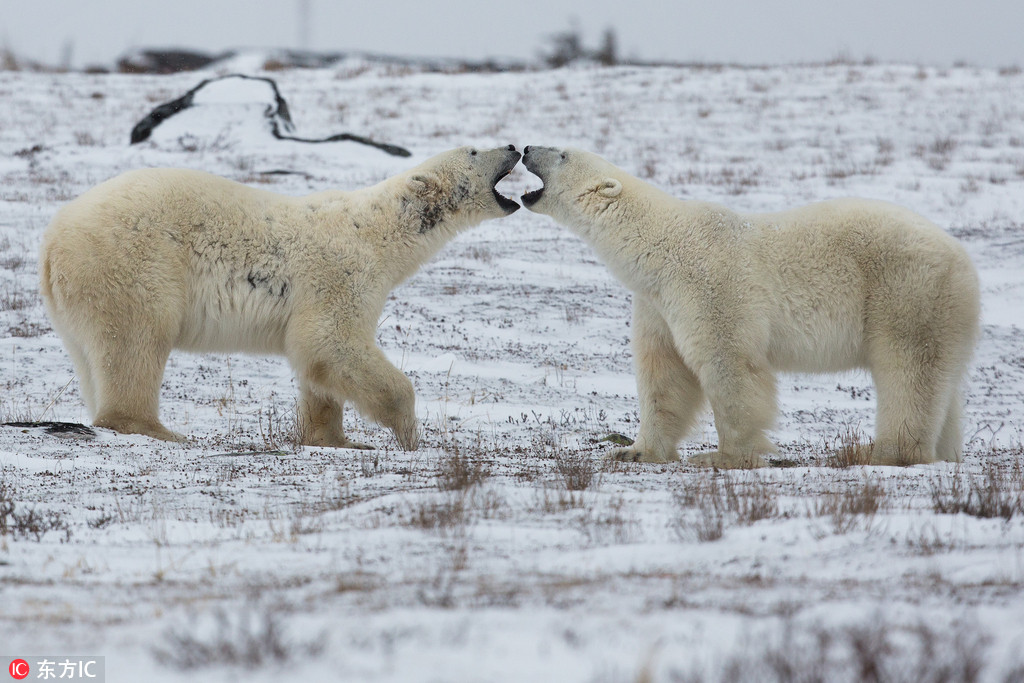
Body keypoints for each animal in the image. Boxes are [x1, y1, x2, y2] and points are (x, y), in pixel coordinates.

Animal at [38, 144, 520, 448]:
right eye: (474, 150)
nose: (515, 146)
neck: (378, 231)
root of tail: (53, 240)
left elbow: (317, 365)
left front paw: (337, 440)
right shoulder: (340, 273)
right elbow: (331, 341)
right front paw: (408, 433)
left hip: (77, 298)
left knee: (93, 354)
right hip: (134, 263)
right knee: (138, 340)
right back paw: (157, 428)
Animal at [524, 146, 978, 466]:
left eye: (563, 154)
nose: (527, 147)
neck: (663, 244)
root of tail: (963, 259)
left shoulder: (710, 285)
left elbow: (730, 364)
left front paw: (725, 456)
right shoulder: (657, 303)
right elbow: (664, 373)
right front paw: (635, 450)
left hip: (907, 292)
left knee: (907, 370)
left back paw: (881, 451)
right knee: (941, 384)